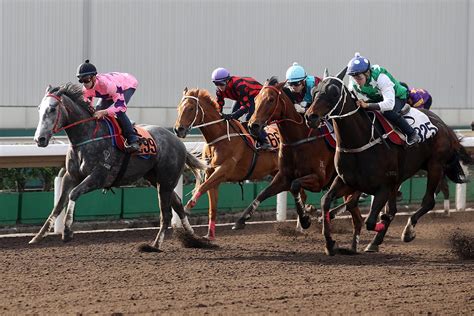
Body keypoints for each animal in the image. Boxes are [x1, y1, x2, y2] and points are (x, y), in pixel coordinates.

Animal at [31, 82, 206, 251]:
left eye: (52, 108)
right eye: (39, 109)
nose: (39, 139)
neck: (87, 137)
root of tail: (178, 141)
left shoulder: (99, 177)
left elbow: (73, 194)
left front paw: (67, 231)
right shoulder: (71, 176)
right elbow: (58, 205)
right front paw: (38, 236)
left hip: (166, 181)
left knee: (166, 214)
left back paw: (156, 245)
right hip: (157, 179)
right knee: (178, 204)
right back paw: (193, 238)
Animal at [172, 87, 280, 238]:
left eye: (191, 108)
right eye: (178, 108)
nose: (178, 130)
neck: (219, 137)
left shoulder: (224, 169)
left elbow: (201, 187)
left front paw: (188, 206)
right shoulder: (212, 174)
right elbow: (212, 205)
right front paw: (210, 235)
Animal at [235, 78, 364, 253]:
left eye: (271, 99)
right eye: (255, 100)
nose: (252, 126)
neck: (298, 139)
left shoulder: (318, 179)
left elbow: (295, 186)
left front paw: (305, 219)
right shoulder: (283, 177)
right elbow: (262, 194)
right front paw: (241, 220)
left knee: (353, 207)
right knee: (357, 218)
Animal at [306, 68, 472, 256]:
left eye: (334, 92)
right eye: (314, 91)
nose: (310, 117)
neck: (359, 142)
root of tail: (445, 127)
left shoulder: (384, 186)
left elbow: (372, 220)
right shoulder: (346, 181)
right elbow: (326, 201)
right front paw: (330, 243)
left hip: (435, 166)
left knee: (428, 201)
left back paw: (407, 231)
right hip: (401, 177)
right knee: (393, 209)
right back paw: (374, 242)